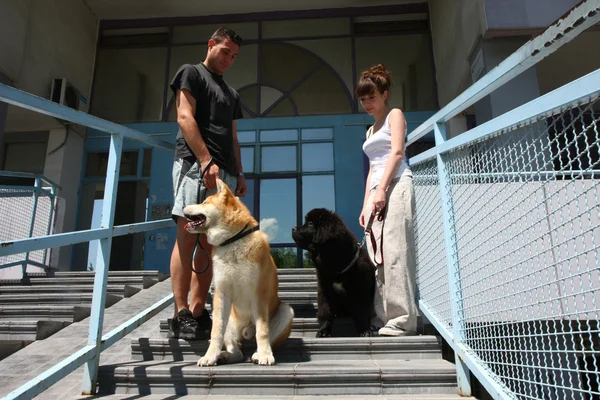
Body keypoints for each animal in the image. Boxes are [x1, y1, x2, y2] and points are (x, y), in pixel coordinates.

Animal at [183, 178, 296, 366]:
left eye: (204, 202)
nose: (184, 206)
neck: (233, 240)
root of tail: (245, 330)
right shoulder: (221, 293)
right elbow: (216, 332)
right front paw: (209, 356)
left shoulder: (259, 293)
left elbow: (262, 331)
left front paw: (265, 355)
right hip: (229, 319)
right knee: (237, 351)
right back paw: (225, 356)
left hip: (286, 311)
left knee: (261, 339)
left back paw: (259, 354)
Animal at [292, 208, 376, 336]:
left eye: (310, 223)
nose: (293, 228)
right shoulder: (325, 288)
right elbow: (326, 310)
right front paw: (323, 330)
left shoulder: (360, 288)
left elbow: (361, 311)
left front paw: (364, 330)